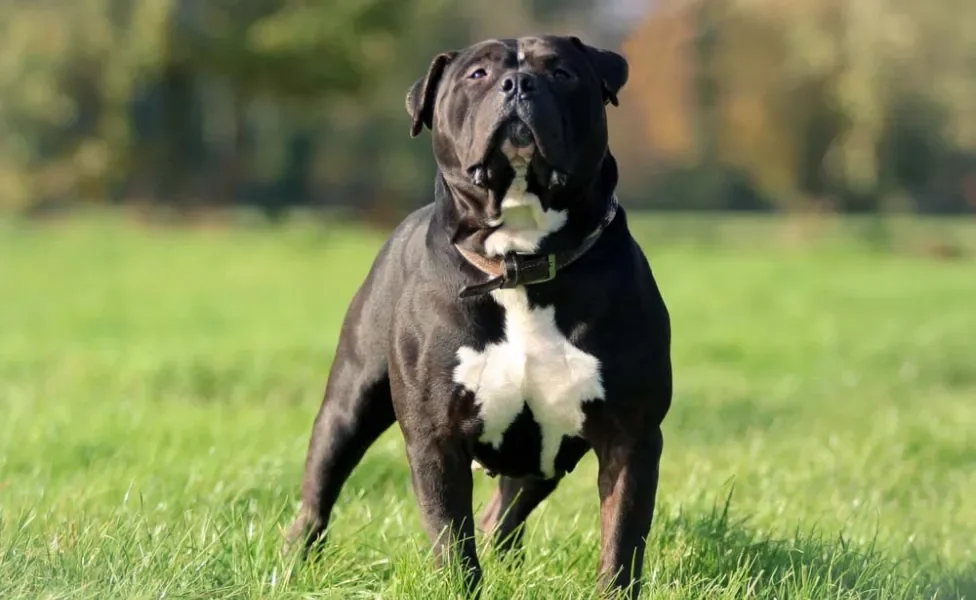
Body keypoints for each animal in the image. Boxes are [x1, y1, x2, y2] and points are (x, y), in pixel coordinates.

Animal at [290, 35, 672, 596]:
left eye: (561, 73)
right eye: (478, 75)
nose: (517, 83)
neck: (520, 259)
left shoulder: (631, 437)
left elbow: (621, 542)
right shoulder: (436, 438)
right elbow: (452, 540)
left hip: (539, 461)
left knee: (502, 518)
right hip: (348, 405)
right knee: (318, 493)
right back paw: (295, 561)